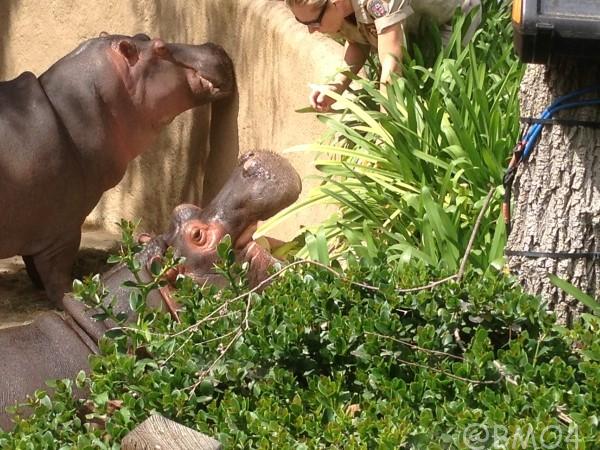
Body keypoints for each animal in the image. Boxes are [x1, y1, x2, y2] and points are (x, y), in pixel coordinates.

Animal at [0, 33, 234, 307]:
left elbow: (33, 265)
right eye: (160, 48)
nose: (214, 46)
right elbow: (57, 277)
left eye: (143, 36)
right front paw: (74, 296)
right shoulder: (63, 231)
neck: (71, 108)